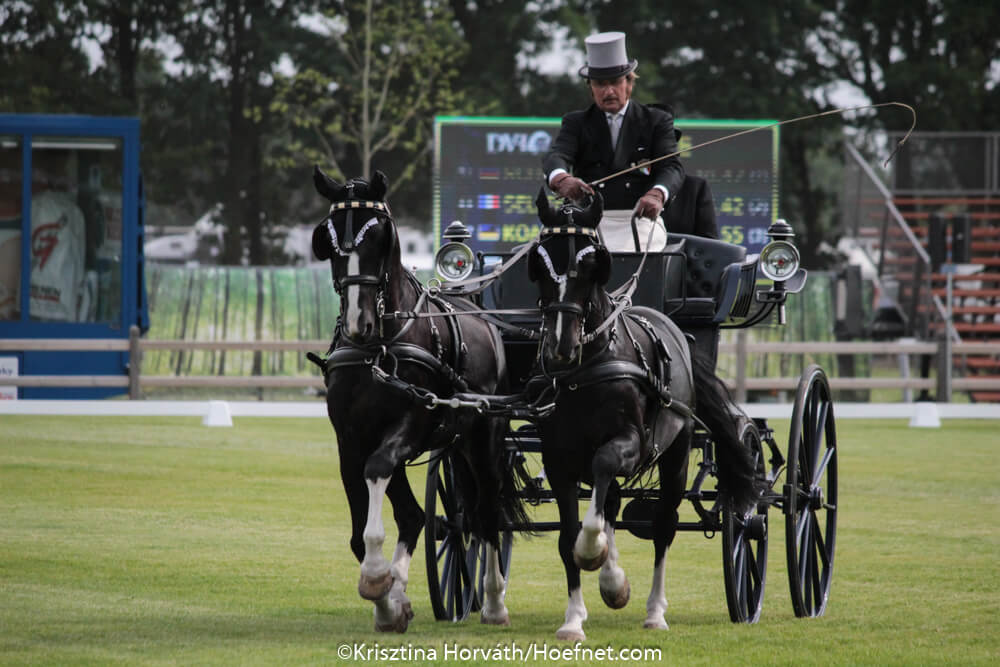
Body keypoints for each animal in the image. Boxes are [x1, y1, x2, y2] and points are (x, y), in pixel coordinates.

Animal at [310, 167, 526, 632]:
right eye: (330, 240)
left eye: (379, 238)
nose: (358, 322)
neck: (378, 347)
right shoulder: (350, 441)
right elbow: (364, 532)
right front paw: (390, 600)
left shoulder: (407, 429)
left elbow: (380, 484)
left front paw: (380, 580)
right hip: (455, 444)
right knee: (429, 514)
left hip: (484, 436)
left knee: (489, 510)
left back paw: (494, 601)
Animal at [526, 190, 760, 640]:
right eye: (540, 262)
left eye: (591, 264)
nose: (560, 349)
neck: (589, 368)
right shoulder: (558, 458)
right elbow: (567, 537)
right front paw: (574, 618)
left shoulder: (630, 443)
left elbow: (596, 506)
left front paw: (593, 553)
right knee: (613, 500)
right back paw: (613, 582)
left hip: (677, 453)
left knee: (664, 525)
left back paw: (654, 611)